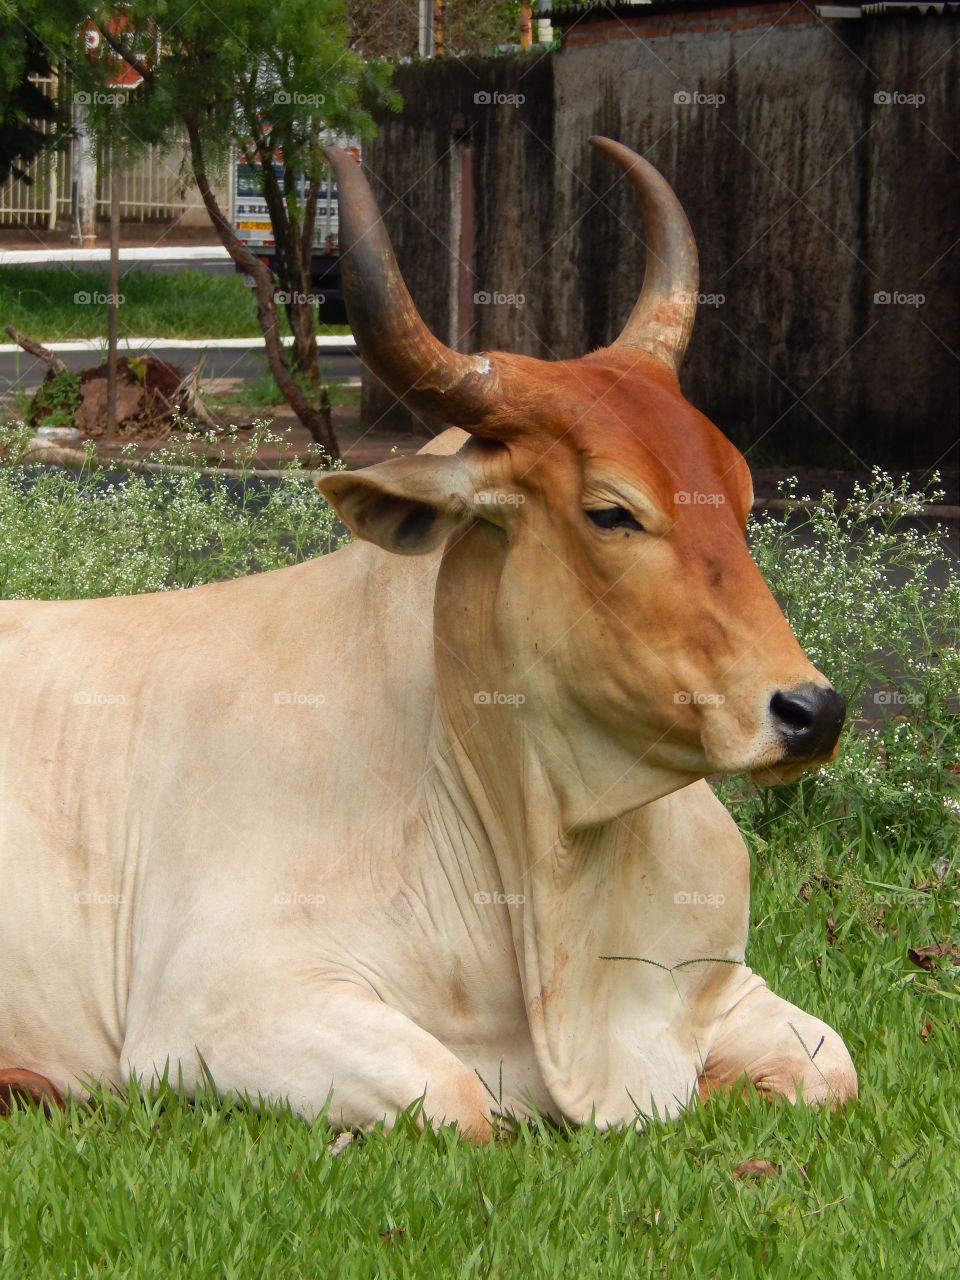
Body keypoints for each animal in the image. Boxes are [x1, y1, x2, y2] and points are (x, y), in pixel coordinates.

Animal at [0, 138, 856, 1139]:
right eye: (611, 511)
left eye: (743, 496)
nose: (813, 711)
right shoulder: (211, 1016)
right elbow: (461, 1100)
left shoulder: (723, 986)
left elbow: (832, 1065)